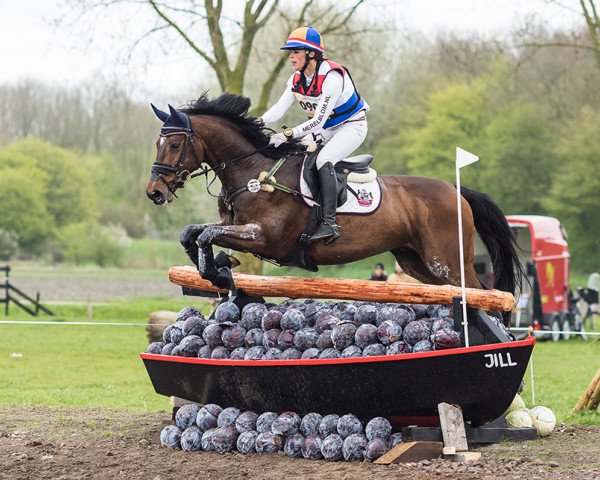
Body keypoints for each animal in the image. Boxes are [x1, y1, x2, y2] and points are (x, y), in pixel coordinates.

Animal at [146, 92, 520, 324]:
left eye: (175, 144)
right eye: (158, 142)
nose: (154, 192)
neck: (253, 171)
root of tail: (455, 189)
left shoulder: (265, 238)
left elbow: (206, 234)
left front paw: (220, 268)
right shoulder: (235, 227)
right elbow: (193, 233)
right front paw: (220, 267)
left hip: (447, 261)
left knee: (482, 293)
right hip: (418, 264)